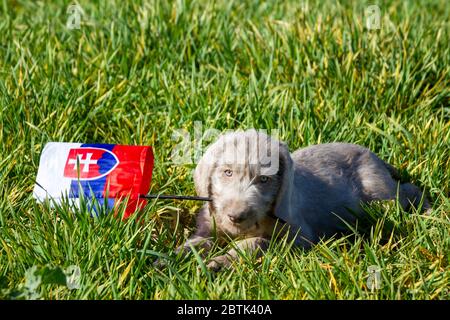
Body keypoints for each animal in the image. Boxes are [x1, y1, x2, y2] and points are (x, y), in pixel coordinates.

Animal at [178, 129, 430, 270]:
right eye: (227, 172)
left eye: (264, 180)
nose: (236, 216)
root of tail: (375, 157)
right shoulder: (210, 226)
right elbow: (197, 243)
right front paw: (174, 257)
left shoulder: (299, 237)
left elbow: (257, 242)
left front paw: (220, 262)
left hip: (379, 194)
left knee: (409, 190)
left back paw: (427, 211)